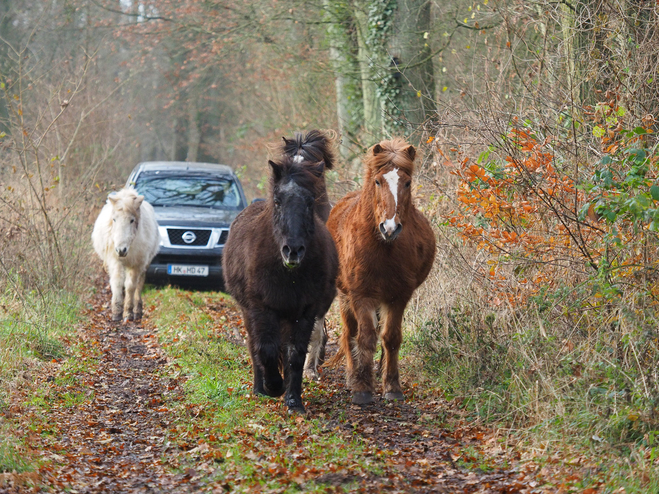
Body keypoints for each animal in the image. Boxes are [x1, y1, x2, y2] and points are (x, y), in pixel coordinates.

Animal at [91, 188, 160, 320]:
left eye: (132, 220)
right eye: (114, 219)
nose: (121, 250)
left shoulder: (137, 264)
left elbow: (131, 286)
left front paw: (128, 312)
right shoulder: (115, 260)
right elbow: (118, 282)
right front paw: (116, 312)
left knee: (139, 284)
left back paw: (137, 310)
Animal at [223, 143, 338, 412]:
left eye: (309, 202)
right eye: (278, 201)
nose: (293, 250)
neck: (288, 274)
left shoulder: (305, 312)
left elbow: (295, 355)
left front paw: (293, 399)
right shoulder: (262, 309)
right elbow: (265, 350)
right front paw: (273, 386)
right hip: (250, 312)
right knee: (254, 346)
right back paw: (260, 388)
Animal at [326, 138, 438, 406]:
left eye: (407, 183)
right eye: (378, 181)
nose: (390, 227)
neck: (382, 247)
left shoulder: (399, 297)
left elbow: (391, 338)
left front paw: (392, 386)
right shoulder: (361, 295)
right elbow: (365, 337)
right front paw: (362, 388)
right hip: (345, 297)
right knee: (350, 333)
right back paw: (352, 375)